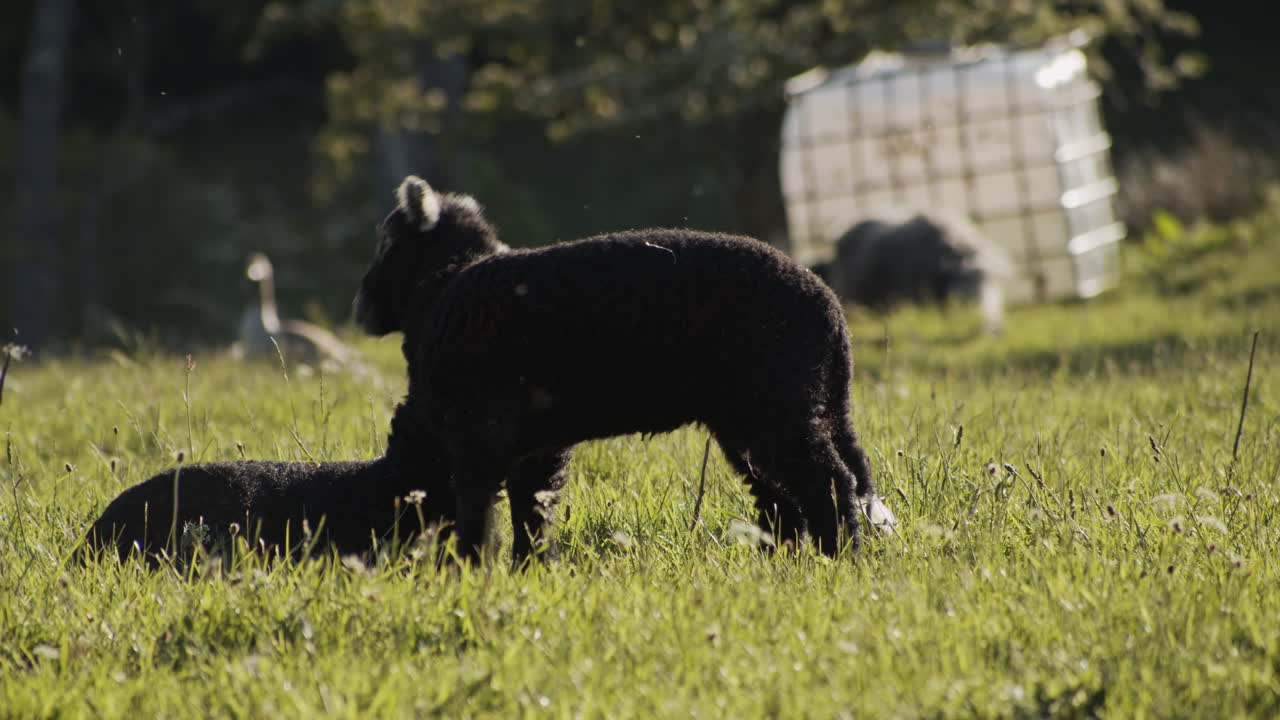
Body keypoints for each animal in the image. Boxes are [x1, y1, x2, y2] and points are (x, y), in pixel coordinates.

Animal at [353, 175, 894, 564]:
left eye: (386, 244)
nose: (361, 305)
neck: (444, 289)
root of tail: (831, 311)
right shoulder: (538, 444)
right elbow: (533, 510)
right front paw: (531, 571)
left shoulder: (477, 433)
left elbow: (477, 512)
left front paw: (470, 572)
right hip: (758, 415)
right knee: (783, 495)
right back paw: (787, 563)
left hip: (777, 405)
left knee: (827, 482)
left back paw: (840, 559)